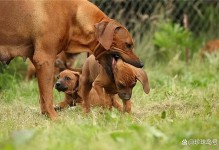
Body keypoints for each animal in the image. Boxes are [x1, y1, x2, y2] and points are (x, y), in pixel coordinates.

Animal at [0, 0, 143, 119]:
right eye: (128, 45)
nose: (141, 64)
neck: (73, 16)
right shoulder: (45, 59)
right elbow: (48, 96)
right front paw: (54, 118)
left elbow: (43, 97)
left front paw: (46, 115)